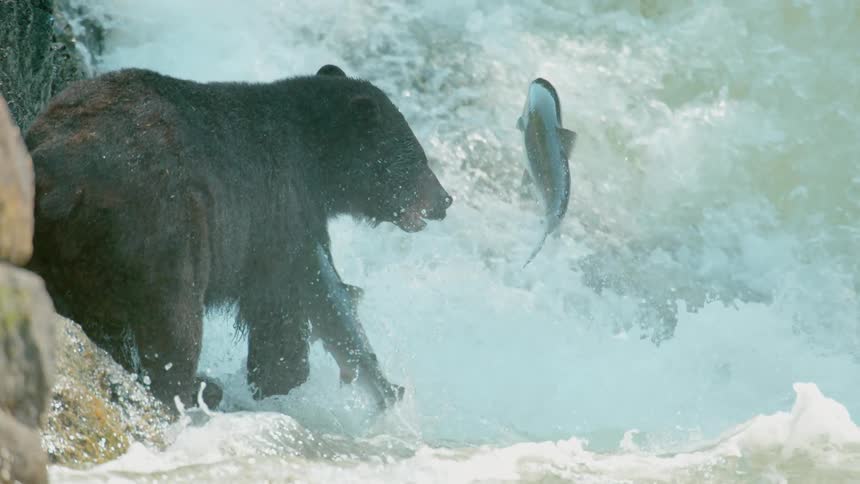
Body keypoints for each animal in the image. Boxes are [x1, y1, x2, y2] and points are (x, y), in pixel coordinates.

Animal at [25, 64, 452, 409]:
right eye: (417, 158)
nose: (445, 200)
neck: (315, 165)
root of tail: (63, 180)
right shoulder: (278, 212)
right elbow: (283, 306)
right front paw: (281, 381)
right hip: (166, 228)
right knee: (176, 318)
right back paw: (192, 387)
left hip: (64, 246)